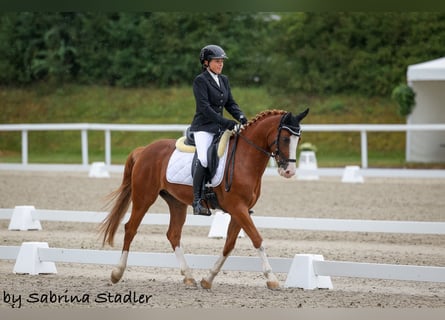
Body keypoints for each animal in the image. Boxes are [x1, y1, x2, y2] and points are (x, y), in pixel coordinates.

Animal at [99, 108, 308, 290]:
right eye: (285, 138)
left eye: (299, 138)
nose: (289, 171)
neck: (244, 159)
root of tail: (144, 150)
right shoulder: (238, 207)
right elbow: (257, 239)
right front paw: (272, 279)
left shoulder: (241, 210)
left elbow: (229, 245)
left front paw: (208, 279)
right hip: (144, 197)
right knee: (130, 228)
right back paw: (117, 273)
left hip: (176, 202)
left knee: (173, 234)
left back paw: (189, 277)